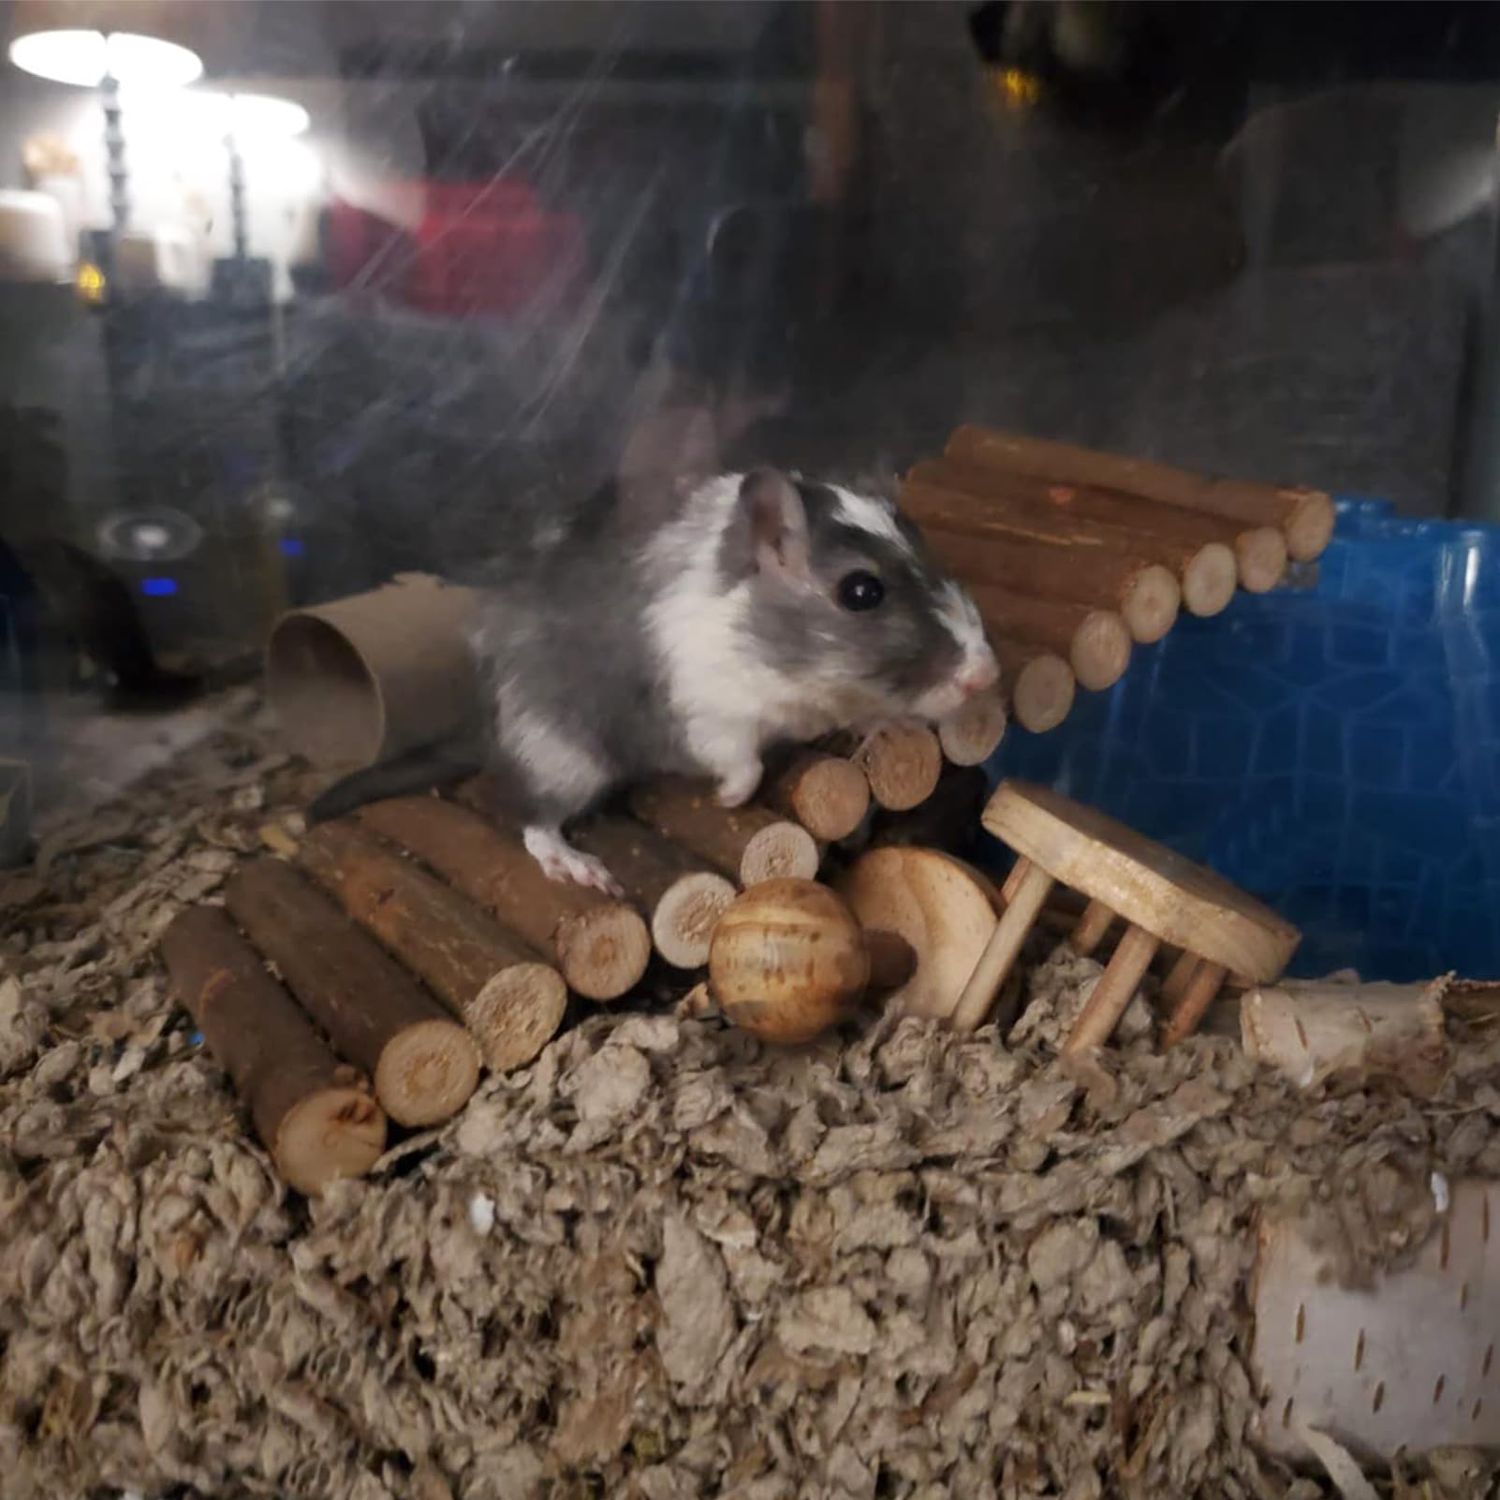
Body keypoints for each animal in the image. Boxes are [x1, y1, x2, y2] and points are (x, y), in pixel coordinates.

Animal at [309, 468, 999, 894]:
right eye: (861, 591)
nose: (986, 674)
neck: (788, 668)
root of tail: (481, 729)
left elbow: (860, 713)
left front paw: (888, 725)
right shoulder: (712, 716)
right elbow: (742, 762)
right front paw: (729, 800)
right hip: (561, 756)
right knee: (530, 818)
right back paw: (584, 870)